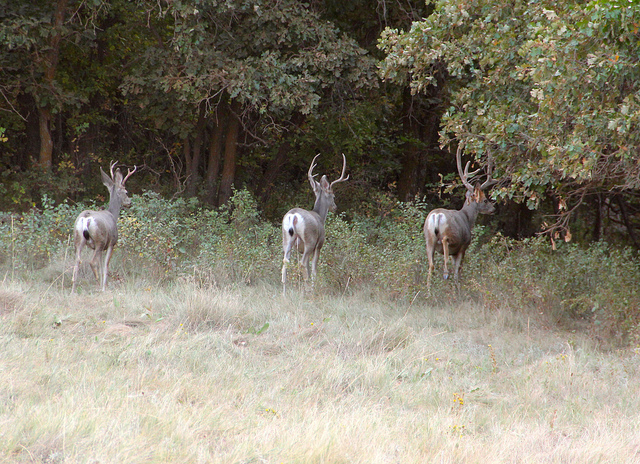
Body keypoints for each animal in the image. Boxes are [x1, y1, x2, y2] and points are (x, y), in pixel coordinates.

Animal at [71, 161, 137, 293]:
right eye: (126, 192)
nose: (129, 202)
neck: (113, 214)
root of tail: (86, 218)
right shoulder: (111, 243)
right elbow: (105, 266)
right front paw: (104, 287)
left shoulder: (102, 248)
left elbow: (101, 266)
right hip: (99, 240)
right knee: (91, 262)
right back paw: (97, 285)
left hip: (78, 239)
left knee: (77, 261)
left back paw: (73, 291)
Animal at [281, 154, 348, 294]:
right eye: (333, 196)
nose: (335, 207)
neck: (320, 216)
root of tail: (293, 216)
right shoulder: (319, 244)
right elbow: (313, 268)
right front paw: (313, 287)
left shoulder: (300, 248)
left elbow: (308, 266)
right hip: (310, 239)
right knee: (301, 263)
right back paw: (307, 289)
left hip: (286, 238)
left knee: (286, 261)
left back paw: (284, 293)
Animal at [424, 144, 497, 291]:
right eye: (485, 200)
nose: (493, 209)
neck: (467, 219)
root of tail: (437, 215)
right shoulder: (463, 247)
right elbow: (458, 270)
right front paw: (457, 288)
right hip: (451, 235)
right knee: (445, 241)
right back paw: (445, 274)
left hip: (428, 238)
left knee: (431, 266)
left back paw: (428, 291)